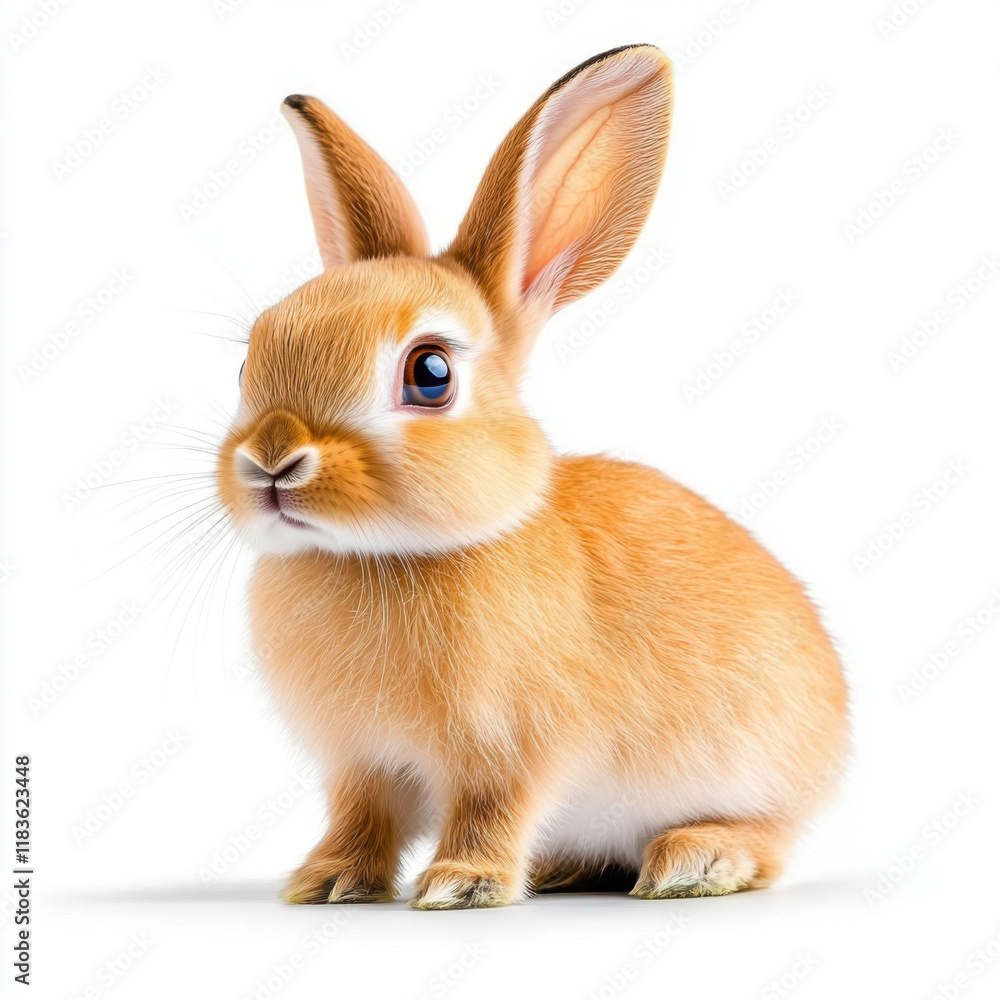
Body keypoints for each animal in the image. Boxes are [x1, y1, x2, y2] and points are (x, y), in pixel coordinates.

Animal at [215, 43, 848, 909]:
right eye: (248, 362)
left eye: (431, 374)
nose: (272, 461)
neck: (382, 555)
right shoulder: (362, 763)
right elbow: (362, 819)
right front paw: (329, 880)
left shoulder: (515, 749)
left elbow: (491, 809)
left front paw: (461, 885)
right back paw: (564, 867)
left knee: (769, 841)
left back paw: (694, 860)